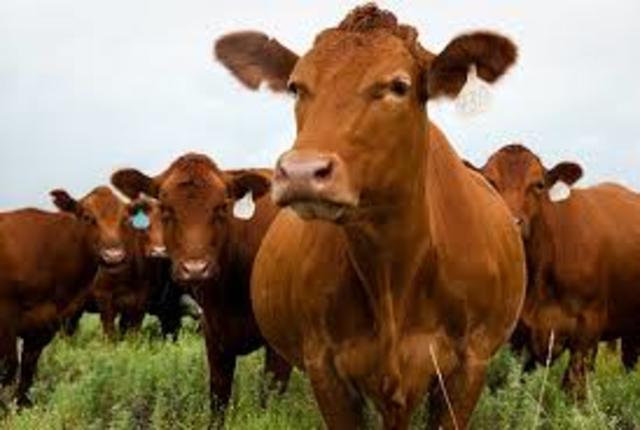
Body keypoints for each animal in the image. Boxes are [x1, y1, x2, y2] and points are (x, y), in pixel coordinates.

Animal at [0, 186, 129, 406]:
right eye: (87, 217)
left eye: (124, 219)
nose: (113, 256)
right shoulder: (5, 317)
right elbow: (8, 368)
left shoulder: (44, 324)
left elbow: (27, 371)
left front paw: (22, 406)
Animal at [111, 153, 292, 418]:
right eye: (165, 209)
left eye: (222, 207)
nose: (195, 269)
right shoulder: (212, 332)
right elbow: (218, 396)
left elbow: (271, 400)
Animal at [214, 4, 525, 429]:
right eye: (295, 87)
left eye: (398, 86)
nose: (301, 172)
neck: (391, 271)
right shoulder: (323, 366)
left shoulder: (470, 365)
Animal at [470, 143, 640, 398]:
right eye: (490, 182)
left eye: (538, 184)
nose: (511, 223)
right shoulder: (519, 337)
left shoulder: (587, 332)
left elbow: (573, 391)